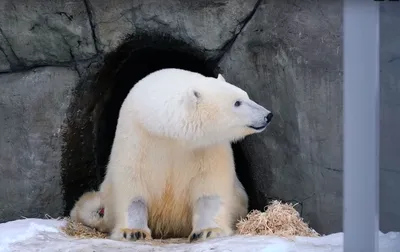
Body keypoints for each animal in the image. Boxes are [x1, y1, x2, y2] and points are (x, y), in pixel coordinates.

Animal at [70, 68, 274, 242]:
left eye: (245, 95)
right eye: (237, 102)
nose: (268, 115)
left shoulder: (208, 147)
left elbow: (210, 186)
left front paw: (208, 231)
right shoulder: (136, 135)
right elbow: (132, 182)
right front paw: (133, 232)